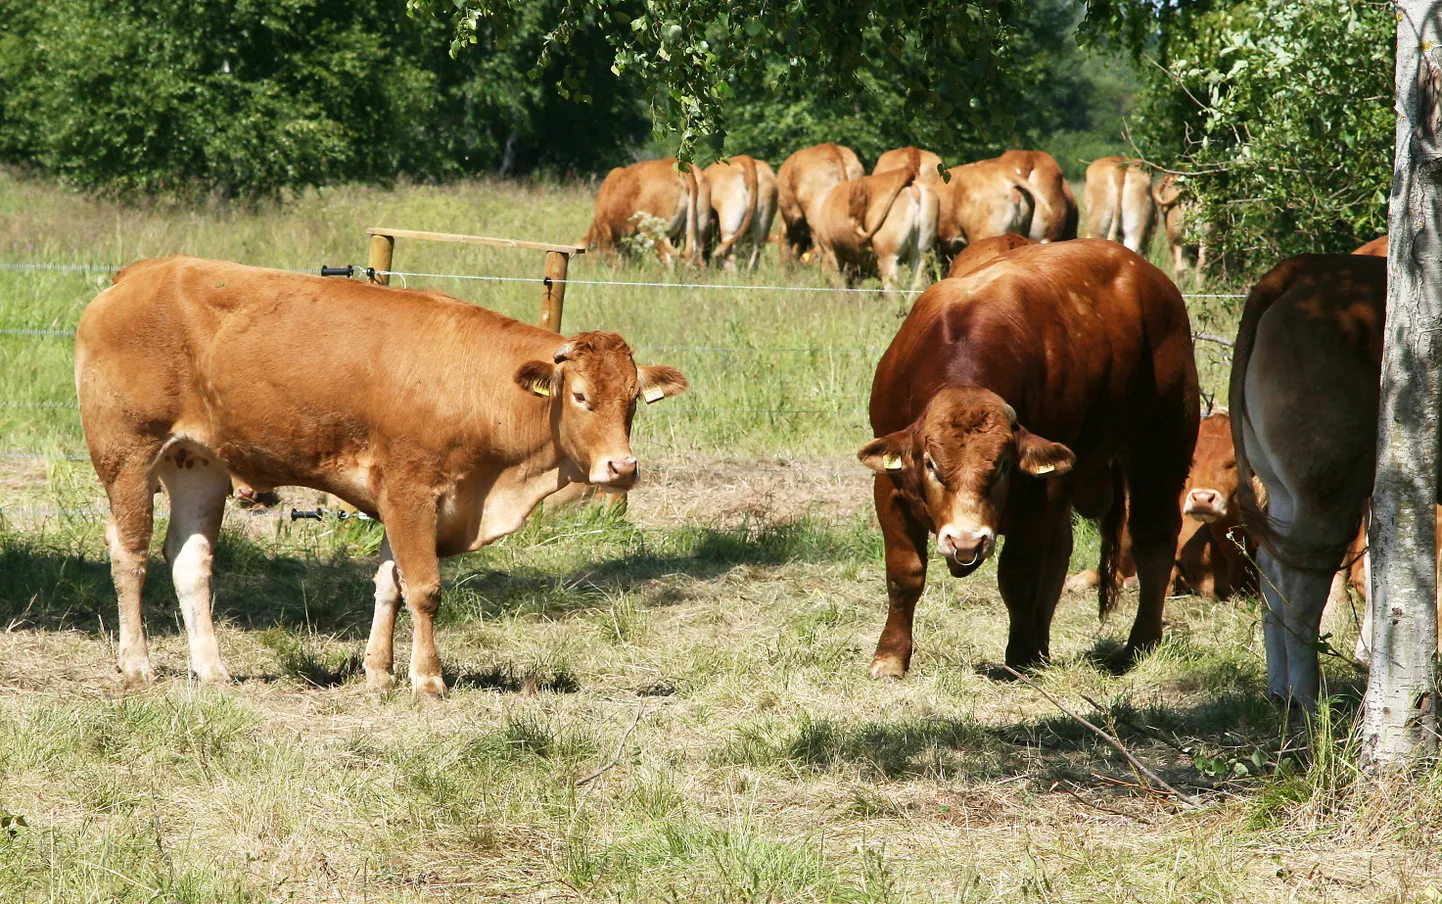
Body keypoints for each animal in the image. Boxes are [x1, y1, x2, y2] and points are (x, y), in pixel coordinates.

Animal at [77, 258, 686, 697]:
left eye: (633, 400)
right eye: (580, 396)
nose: (622, 467)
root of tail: (139, 273)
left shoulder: (407, 501)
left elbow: (389, 585)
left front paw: (379, 671)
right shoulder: (410, 490)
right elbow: (424, 588)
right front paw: (428, 678)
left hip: (197, 464)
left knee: (190, 561)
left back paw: (212, 670)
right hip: (128, 456)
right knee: (129, 556)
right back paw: (136, 663)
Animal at [859, 240, 1199, 680]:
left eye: (1003, 465)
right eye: (930, 463)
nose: (966, 541)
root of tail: (1149, 274)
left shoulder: (1042, 491)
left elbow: (1018, 576)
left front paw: (1019, 654)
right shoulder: (890, 485)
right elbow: (905, 574)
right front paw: (890, 657)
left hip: (1161, 448)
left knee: (1153, 539)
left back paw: (1140, 642)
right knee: (1060, 554)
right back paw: (1044, 643)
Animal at [1228, 250, 1384, 712]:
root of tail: (1304, 267)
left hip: (1283, 488)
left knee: (1272, 564)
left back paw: (1279, 688)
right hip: (1328, 486)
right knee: (1303, 577)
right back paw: (1306, 697)